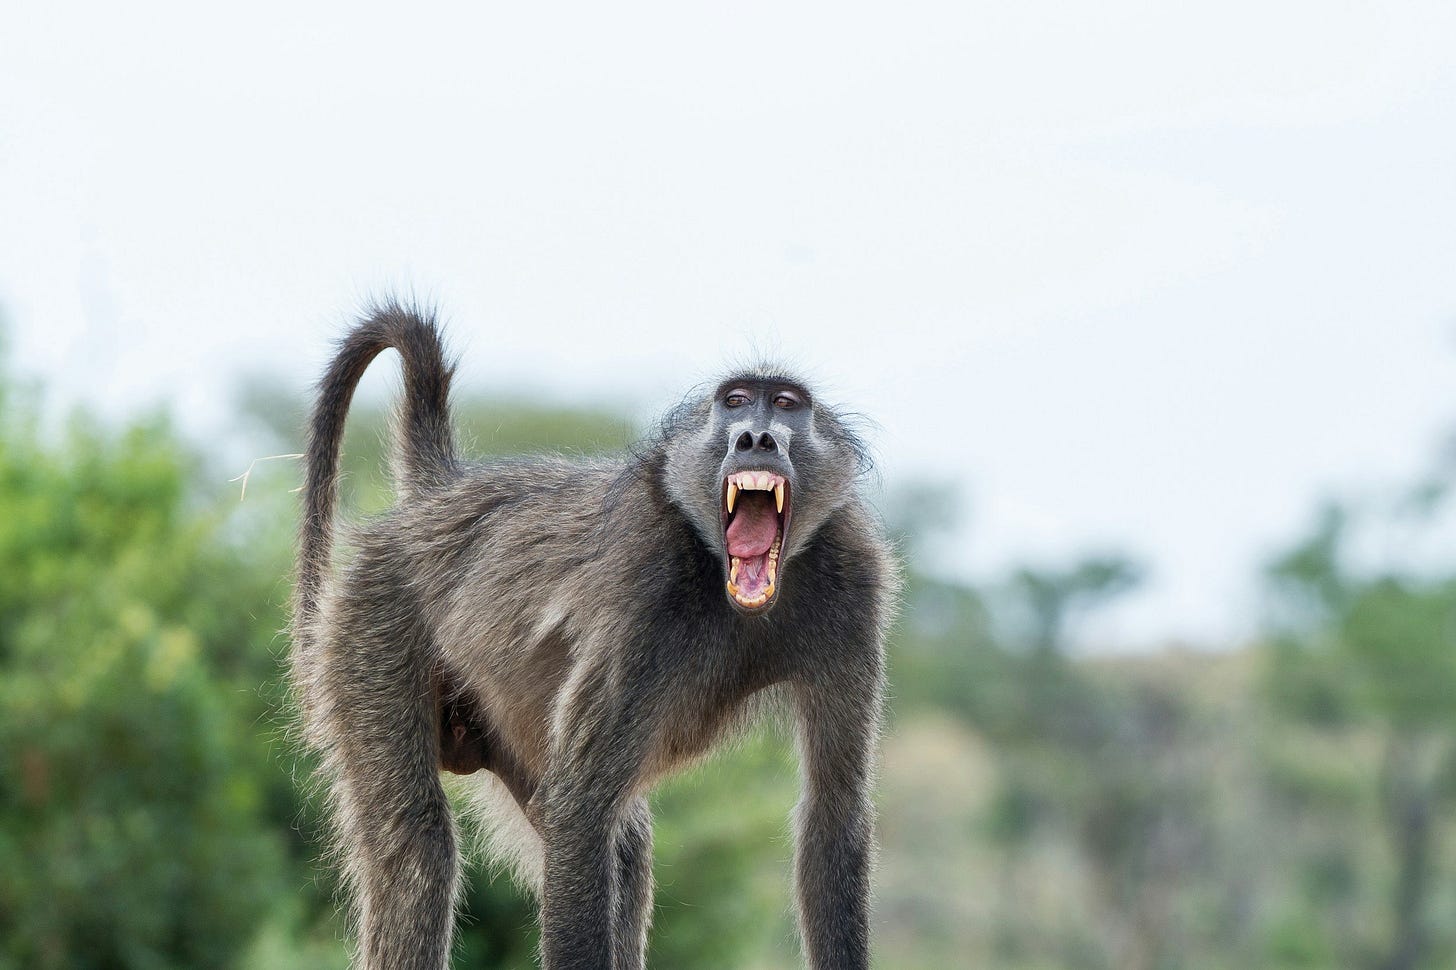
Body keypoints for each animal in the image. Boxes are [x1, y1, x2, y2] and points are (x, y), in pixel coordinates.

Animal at [290, 301, 895, 970]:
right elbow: (578, 812)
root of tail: (436, 499)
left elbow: (831, 817)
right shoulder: (643, 590)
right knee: (417, 851)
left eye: (786, 405)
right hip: (370, 626)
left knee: (622, 847)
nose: (756, 438)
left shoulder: (856, 589)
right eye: (736, 402)